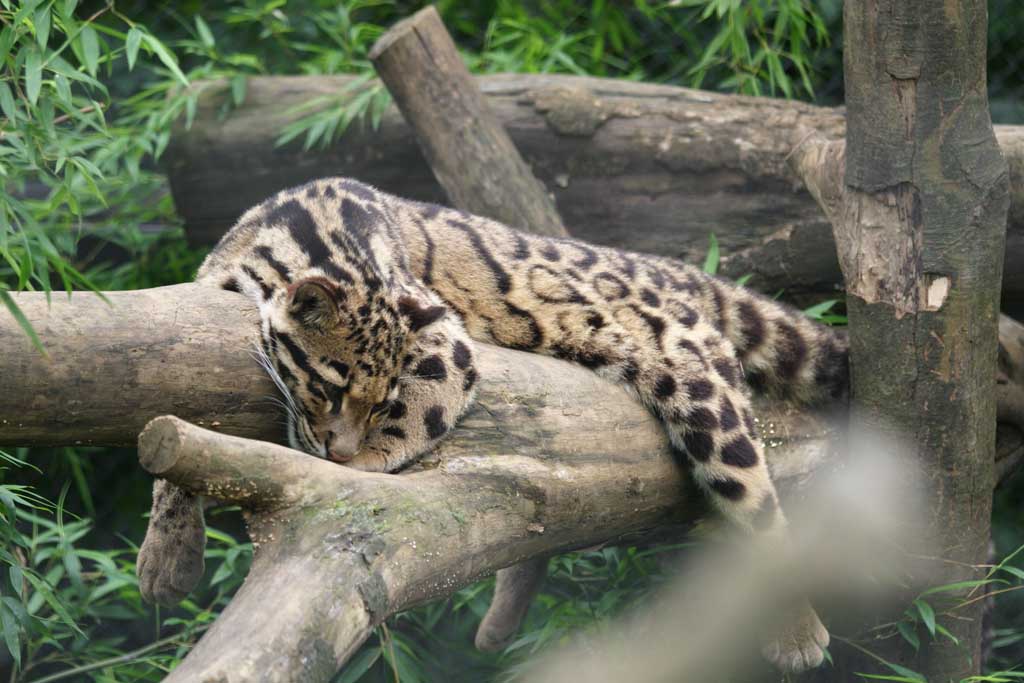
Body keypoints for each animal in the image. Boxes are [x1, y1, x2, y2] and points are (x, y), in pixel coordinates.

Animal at [136, 176, 847, 671]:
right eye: (333, 389)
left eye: (383, 399)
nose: (336, 452)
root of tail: (674, 272)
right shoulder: (187, 316)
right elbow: (173, 425)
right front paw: (166, 558)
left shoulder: (444, 337)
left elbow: (424, 411)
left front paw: (365, 465)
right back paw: (500, 625)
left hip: (696, 385)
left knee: (755, 498)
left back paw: (799, 631)